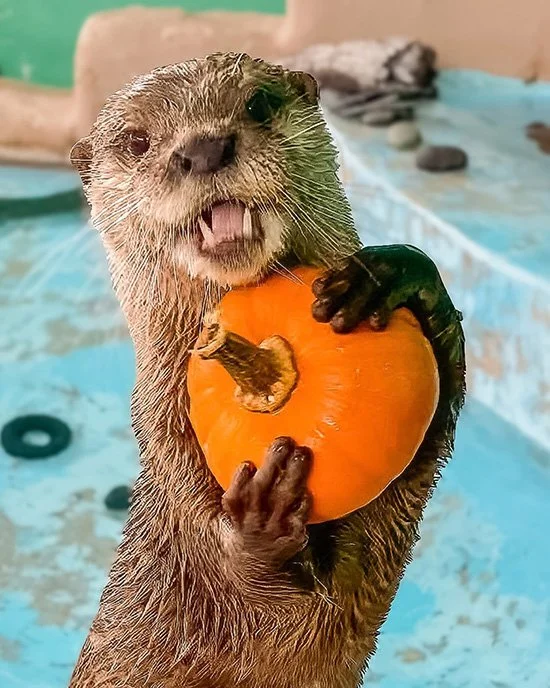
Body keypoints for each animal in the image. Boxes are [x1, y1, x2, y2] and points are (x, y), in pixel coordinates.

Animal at [69, 53, 465, 688]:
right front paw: (258, 522)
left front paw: (393, 275)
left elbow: (414, 473)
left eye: (257, 103)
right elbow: (252, 589)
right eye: (136, 141)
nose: (204, 149)